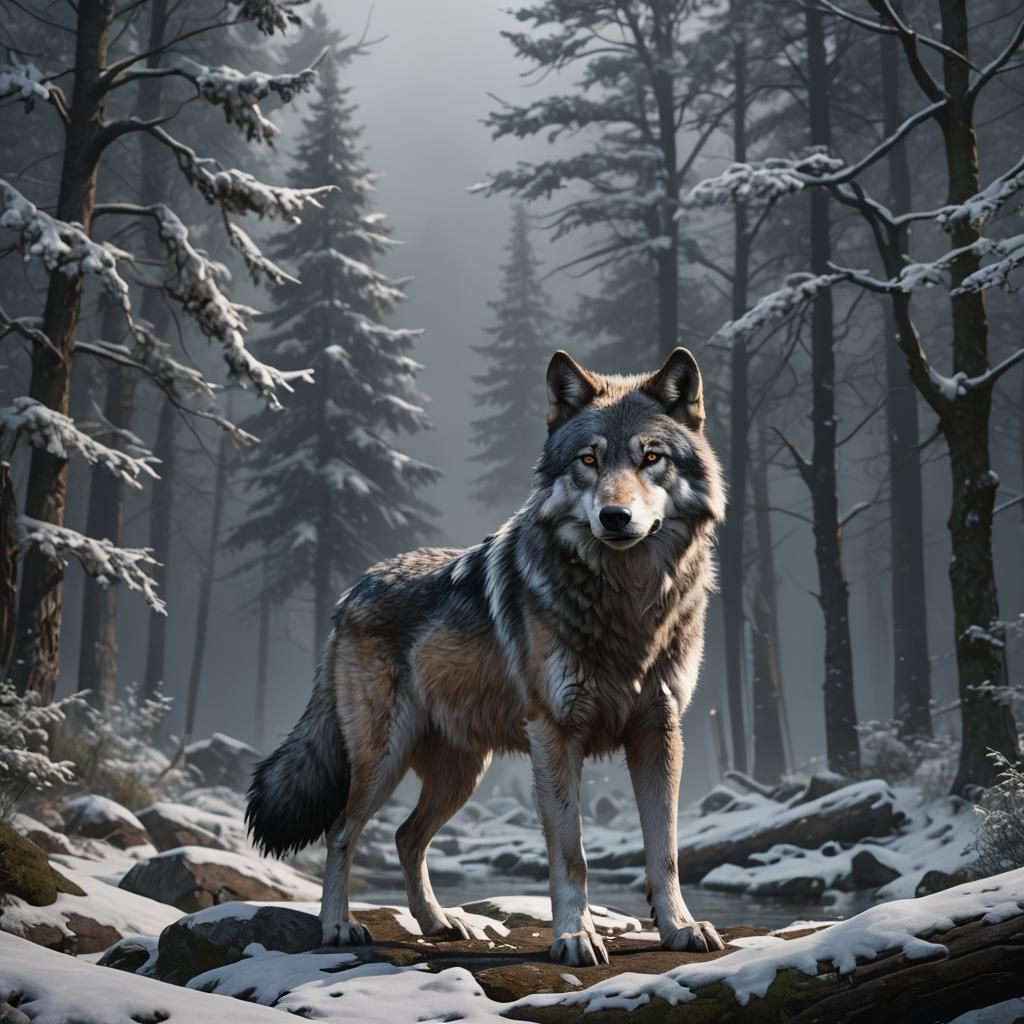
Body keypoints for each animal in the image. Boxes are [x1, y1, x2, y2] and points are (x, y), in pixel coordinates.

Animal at [246, 347, 727, 967]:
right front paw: (574, 937)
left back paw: (439, 922)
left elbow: (664, 851)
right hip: (384, 759)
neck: (628, 604)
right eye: (589, 460)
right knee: (341, 833)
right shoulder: (555, 735)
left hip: (461, 772)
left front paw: (679, 928)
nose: (615, 517)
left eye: (651, 458)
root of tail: (352, 590)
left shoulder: (659, 732)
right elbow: (571, 853)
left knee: (405, 837)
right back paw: (337, 927)